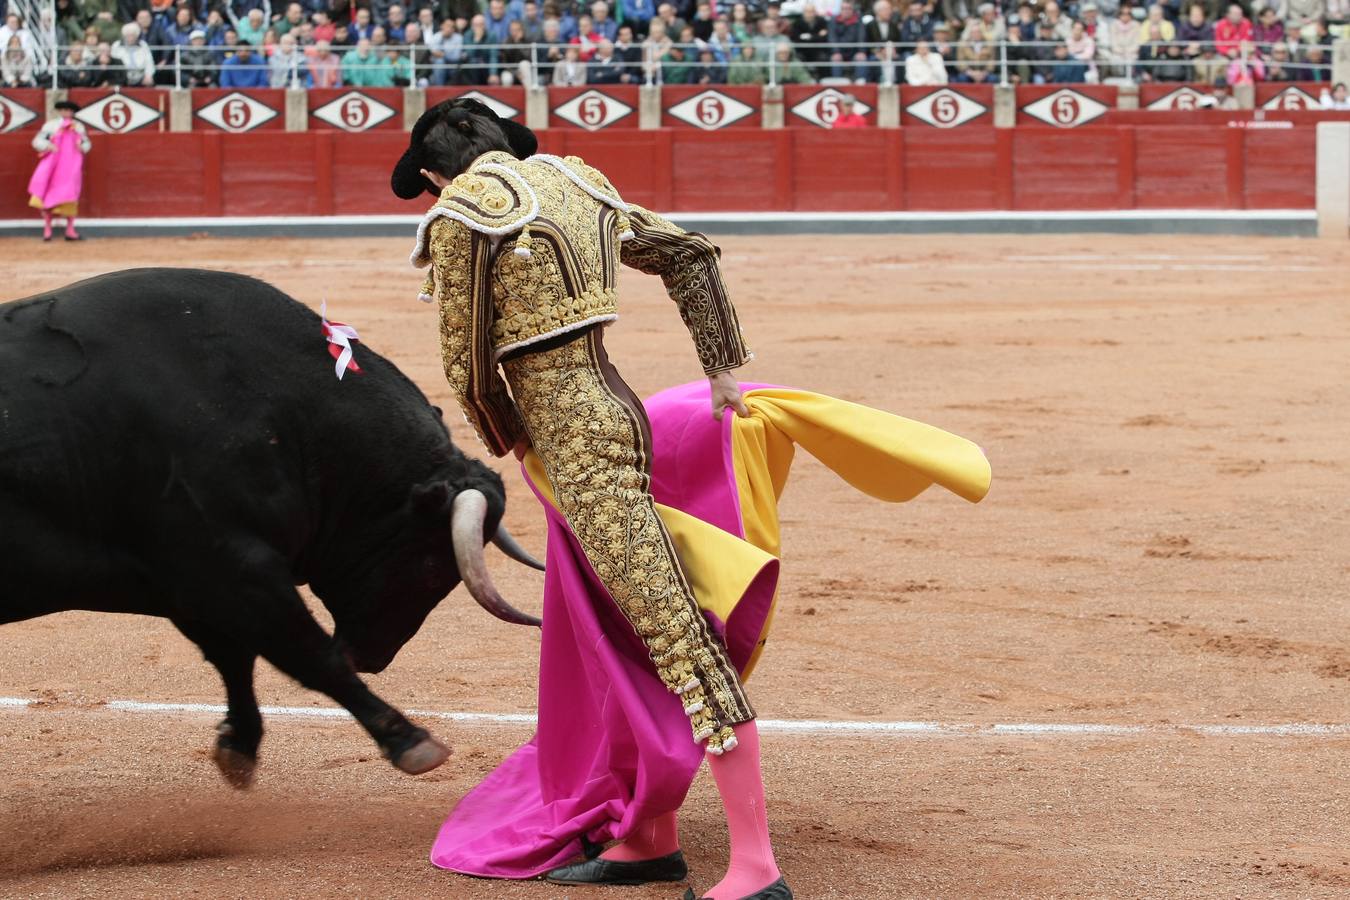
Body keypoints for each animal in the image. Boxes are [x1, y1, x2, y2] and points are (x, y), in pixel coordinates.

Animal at [1, 269, 537, 788]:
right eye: (431, 566)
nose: (370, 657)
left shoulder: (194, 587)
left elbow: (235, 657)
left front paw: (238, 745)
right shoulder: (231, 568)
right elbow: (310, 654)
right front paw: (411, 742)